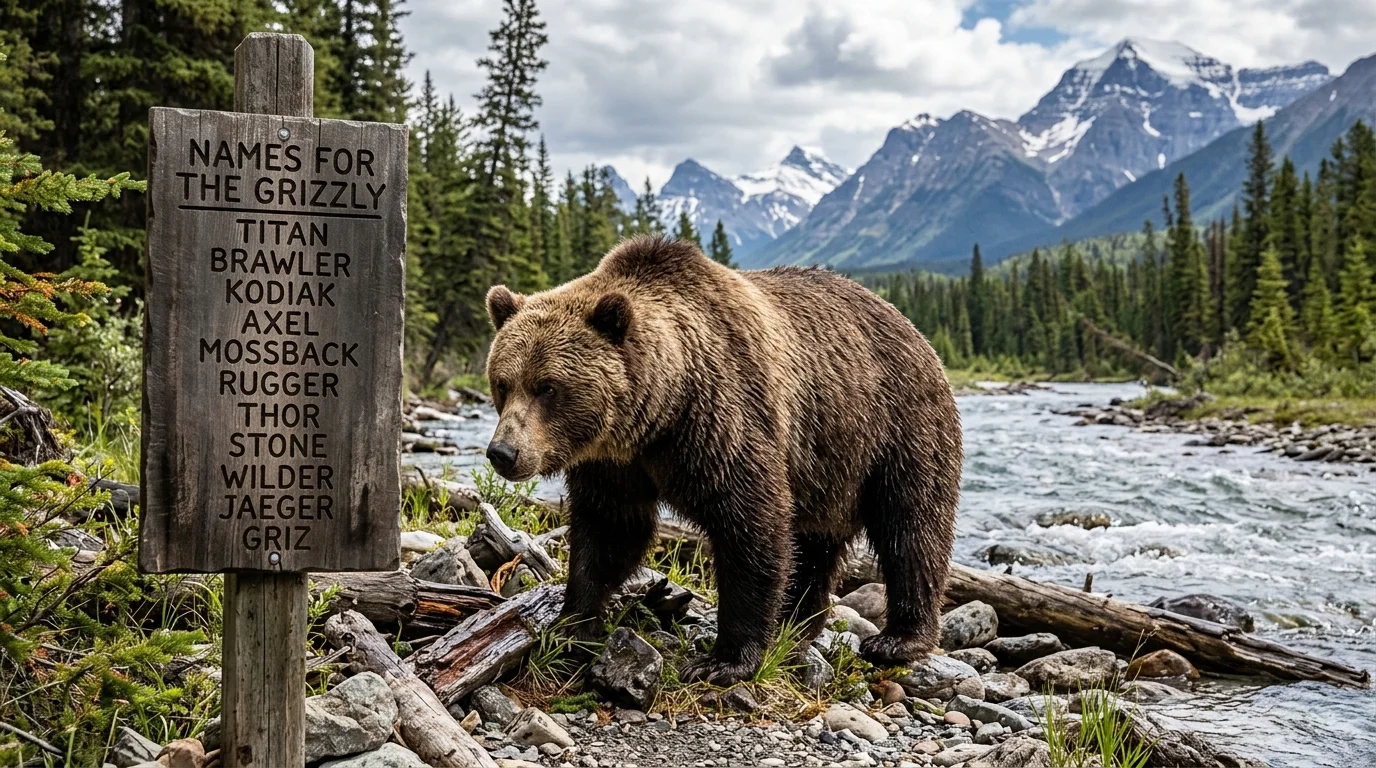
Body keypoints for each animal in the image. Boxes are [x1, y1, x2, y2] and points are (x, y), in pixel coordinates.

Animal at [483, 235, 962, 684]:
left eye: (547, 387)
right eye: (503, 383)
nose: (503, 452)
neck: (657, 417)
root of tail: (911, 326)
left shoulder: (722, 420)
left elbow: (750, 527)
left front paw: (724, 660)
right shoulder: (615, 466)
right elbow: (609, 532)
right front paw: (572, 624)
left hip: (896, 428)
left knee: (911, 528)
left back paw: (898, 638)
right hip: (827, 465)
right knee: (815, 545)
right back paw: (795, 624)